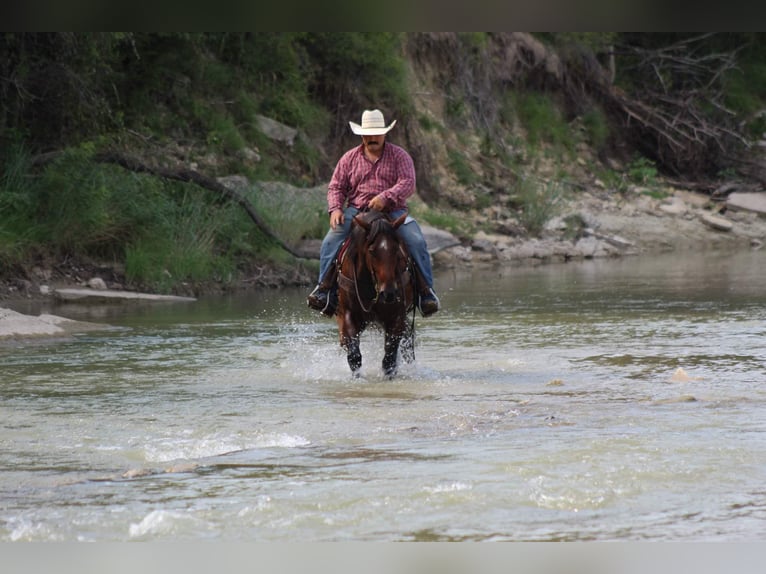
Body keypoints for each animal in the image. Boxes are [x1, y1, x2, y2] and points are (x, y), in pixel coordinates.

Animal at [336, 210, 416, 378]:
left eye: (396, 249)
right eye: (372, 251)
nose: (389, 293)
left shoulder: (397, 316)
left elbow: (390, 358)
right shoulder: (348, 314)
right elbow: (354, 355)